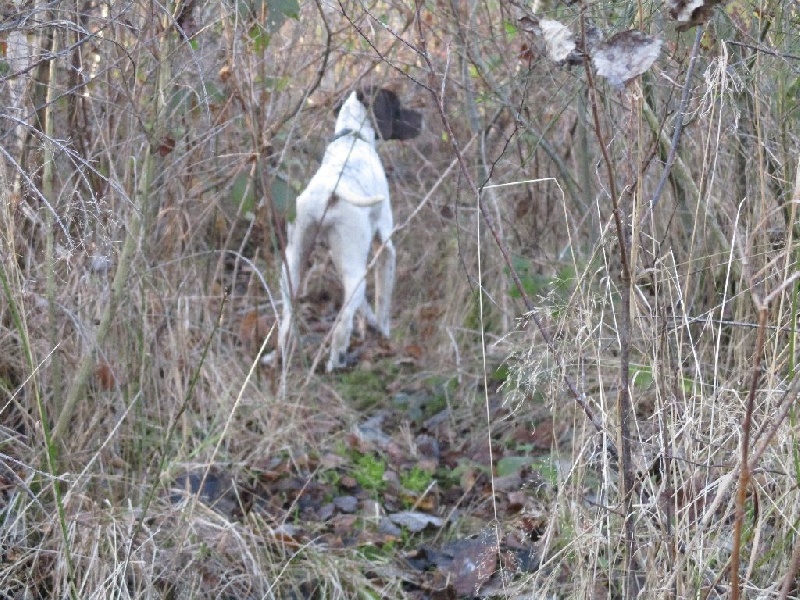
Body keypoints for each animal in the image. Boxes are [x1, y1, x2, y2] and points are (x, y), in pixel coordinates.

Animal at [278, 88, 422, 370]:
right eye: (398, 107)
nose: (421, 118)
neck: (353, 136)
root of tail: (329, 193)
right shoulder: (385, 247)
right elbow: (382, 303)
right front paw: (384, 335)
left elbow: (365, 308)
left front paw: (370, 327)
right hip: (356, 271)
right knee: (342, 324)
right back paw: (337, 360)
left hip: (293, 264)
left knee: (287, 320)